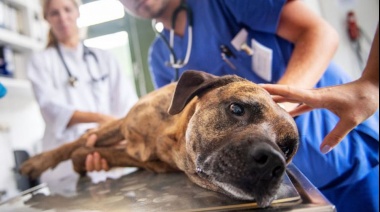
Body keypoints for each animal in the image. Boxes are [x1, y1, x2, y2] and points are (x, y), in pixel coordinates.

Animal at [20, 70, 300, 208]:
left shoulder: (142, 159)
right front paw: (37, 162)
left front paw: (81, 161)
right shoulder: (124, 125)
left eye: (287, 149)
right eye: (237, 108)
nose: (273, 162)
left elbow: (90, 152)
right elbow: (74, 144)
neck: (171, 139)